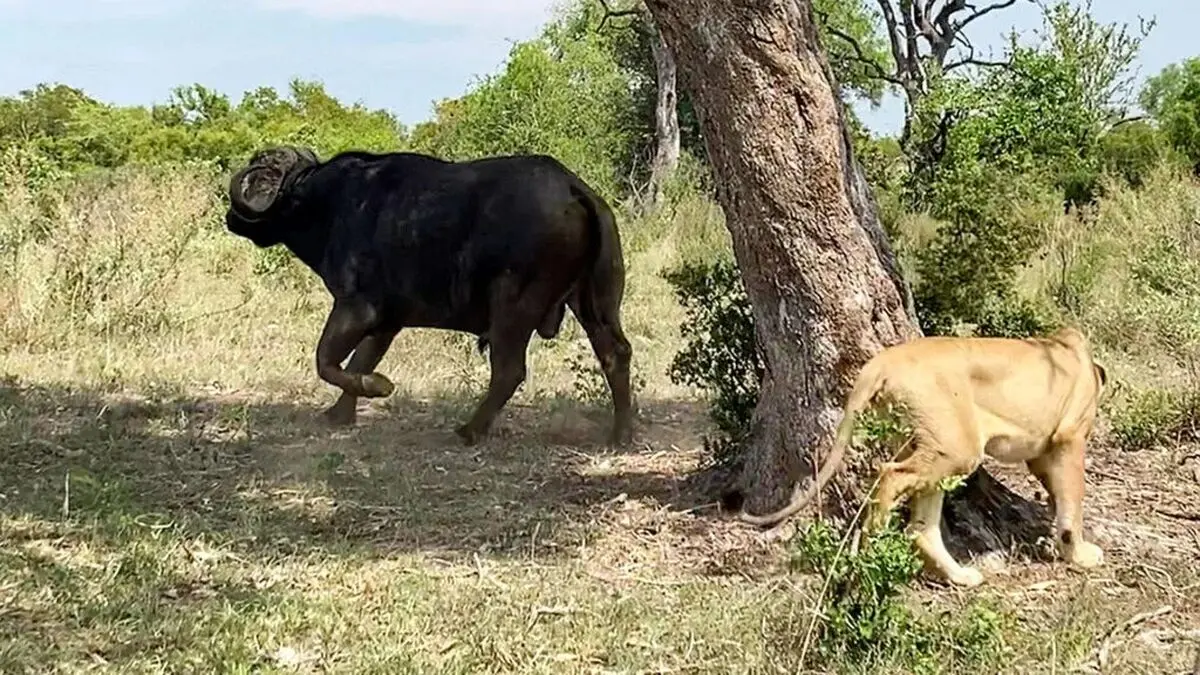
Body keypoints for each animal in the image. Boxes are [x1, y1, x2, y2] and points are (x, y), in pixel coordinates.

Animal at [224, 146, 634, 446]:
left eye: (266, 172)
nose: (231, 213)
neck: (324, 201)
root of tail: (574, 189)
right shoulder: (385, 323)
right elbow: (359, 361)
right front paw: (340, 414)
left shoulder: (355, 307)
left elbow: (326, 361)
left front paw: (378, 387)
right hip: (594, 303)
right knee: (615, 354)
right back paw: (620, 433)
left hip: (512, 306)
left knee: (508, 371)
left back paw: (470, 430)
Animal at [740, 326, 1109, 588]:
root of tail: (882, 361)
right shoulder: (1070, 437)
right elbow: (1073, 497)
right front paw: (1079, 553)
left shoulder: (1042, 454)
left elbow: (1057, 495)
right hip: (958, 447)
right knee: (889, 477)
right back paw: (873, 546)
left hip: (928, 445)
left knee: (920, 524)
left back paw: (959, 576)